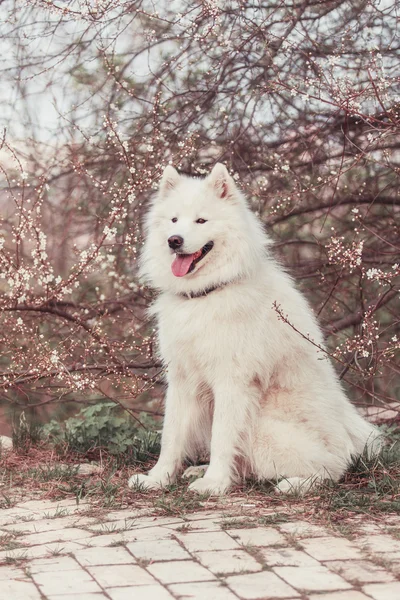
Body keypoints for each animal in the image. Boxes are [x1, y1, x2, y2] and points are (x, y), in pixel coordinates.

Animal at [130, 163, 380, 492]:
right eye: (174, 220)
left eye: (201, 220)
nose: (174, 240)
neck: (208, 293)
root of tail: (352, 439)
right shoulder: (182, 378)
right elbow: (171, 436)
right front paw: (157, 479)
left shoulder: (232, 381)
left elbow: (222, 438)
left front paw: (215, 484)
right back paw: (202, 471)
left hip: (265, 428)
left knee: (331, 468)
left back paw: (293, 484)